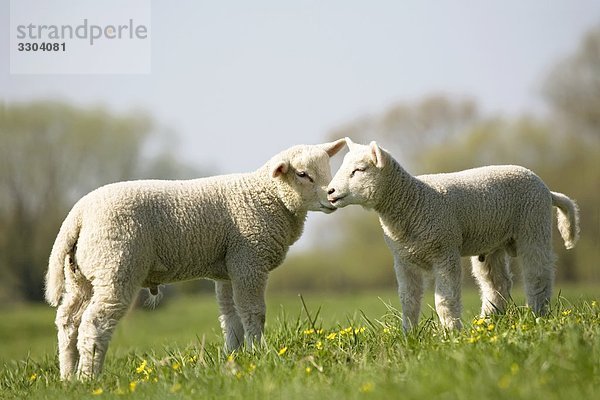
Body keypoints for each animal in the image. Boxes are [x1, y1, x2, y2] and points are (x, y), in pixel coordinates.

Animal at [45, 139, 346, 380]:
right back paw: (89, 378)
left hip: (80, 276)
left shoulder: (230, 267)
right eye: (303, 174)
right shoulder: (249, 261)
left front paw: (235, 356)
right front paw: (259, 352)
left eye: (328, 169)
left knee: (68, 323)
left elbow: (230, 317)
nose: (332, 197)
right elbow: (253, 313)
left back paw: (68, 377)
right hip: (116, 265)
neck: (268, 196)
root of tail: (78, 215)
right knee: (94, 324)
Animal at [326, 138, 580, 332]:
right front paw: (409, 335)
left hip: (533, 225)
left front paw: (451, 333)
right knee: (497, 284)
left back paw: (538, 314)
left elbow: (444, 301)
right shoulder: (403, 260)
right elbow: (408, 301)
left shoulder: (444, 252)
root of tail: (547, 190)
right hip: (492, 243)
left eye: (359, 170)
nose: (329, 191)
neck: (413, 201)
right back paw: (487, 322)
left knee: (538, 274)